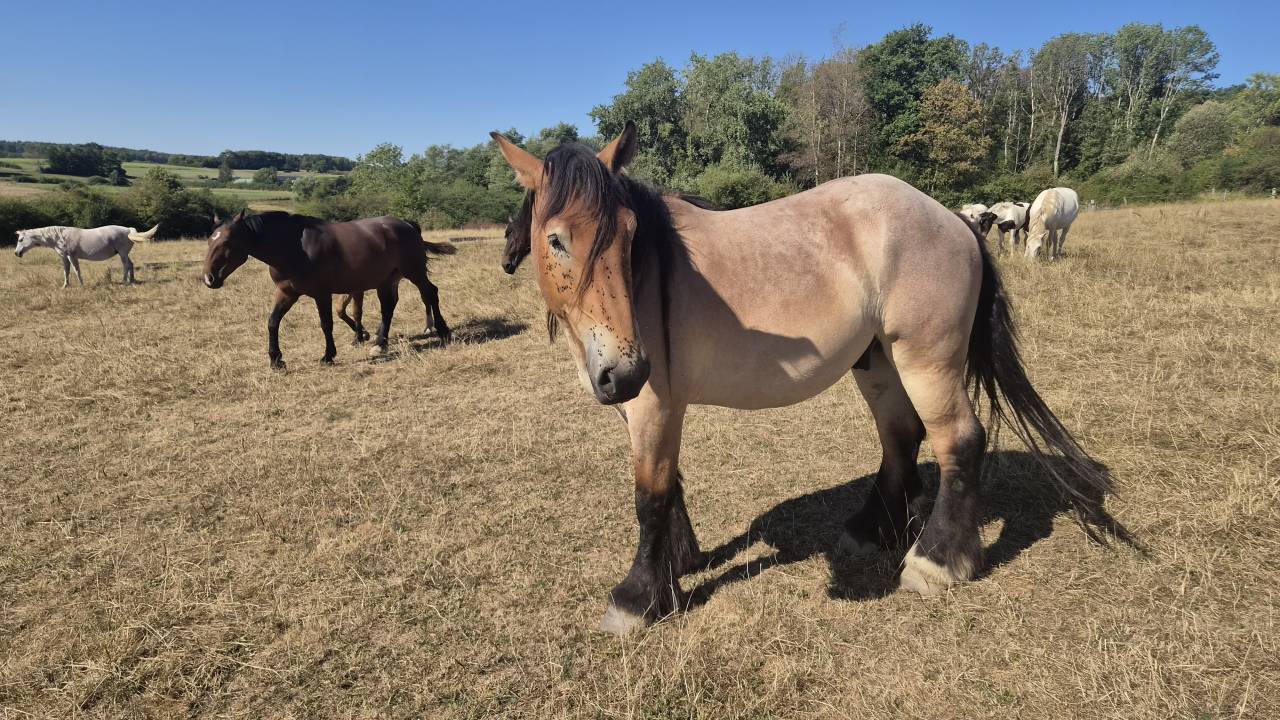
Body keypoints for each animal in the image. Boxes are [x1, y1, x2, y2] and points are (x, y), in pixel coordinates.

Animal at [14, 224, 158, 286]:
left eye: (20, 240)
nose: (16, 253)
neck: (59, 237)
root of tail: (128, 229)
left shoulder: (72, 256)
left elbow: (76, 270)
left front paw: (81, 285)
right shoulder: (64, 257)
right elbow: (66, 271)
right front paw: (65, 286)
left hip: (122, 253)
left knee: (126, 265)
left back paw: (124, 282)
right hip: (124, 253)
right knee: (131, 264)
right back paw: (132, 280)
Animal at [202, 210, 455, 370]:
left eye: (227, 242)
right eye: (209, 241)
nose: (208, 278)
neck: (294, 248)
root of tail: (408, 224)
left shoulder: (321, 293)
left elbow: (326, 324)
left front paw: (328, 356)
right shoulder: (286, 293)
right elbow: (273, 322)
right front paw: (276, 361)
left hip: (414, 272)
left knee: (430, 293)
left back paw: (442, 330)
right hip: (387, 280)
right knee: (388, 307)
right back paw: (379, 343)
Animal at [492, 122, 1114, 634]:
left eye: (627, 235)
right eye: (555, 239)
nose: (627, 371)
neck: (653, 276)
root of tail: (951, 219)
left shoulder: (652, 405)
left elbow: (651, 496)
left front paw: (638, 597)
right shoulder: (640, 406)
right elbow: (672, 485)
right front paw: (681, 561)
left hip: (926, 362)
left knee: (958, 440)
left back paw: (936, 561)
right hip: (879, 363)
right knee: (900, 438)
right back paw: (871, 529)